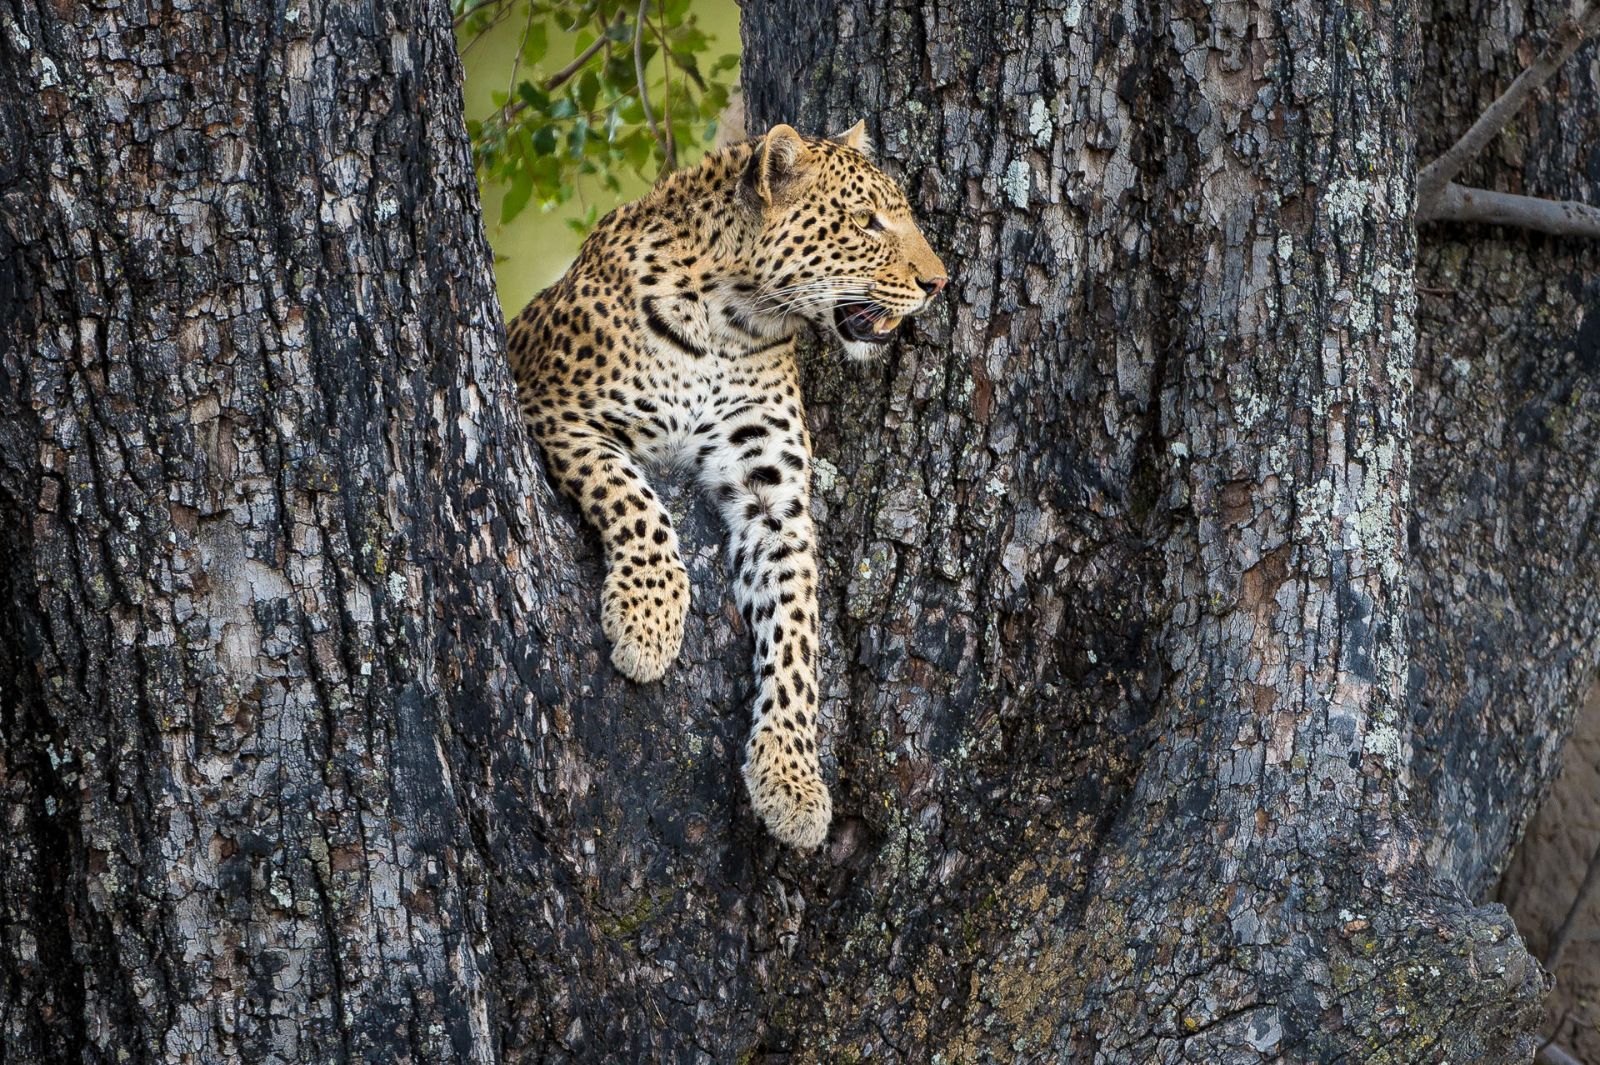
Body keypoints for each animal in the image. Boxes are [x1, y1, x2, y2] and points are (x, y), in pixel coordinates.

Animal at [507, 121, 948, 850]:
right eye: (867, 222)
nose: (938, 283)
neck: (731, 321)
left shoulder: (775, 498)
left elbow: (797, 634)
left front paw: (791, 780)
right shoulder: (558, 408)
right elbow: (637, 502)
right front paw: (648, 624)